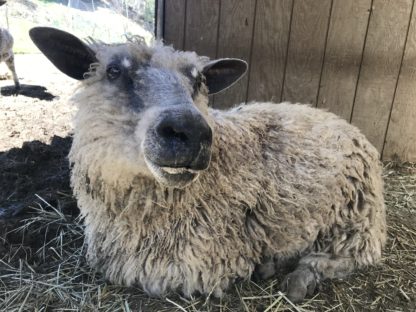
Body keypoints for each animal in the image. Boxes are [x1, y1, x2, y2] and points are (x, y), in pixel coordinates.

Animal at [29, 26, 386, 302]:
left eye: (199, 80)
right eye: (114, 71)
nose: (189, 130)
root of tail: (339, 119)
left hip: (357, 219)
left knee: (348, 255)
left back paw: (297, 277)